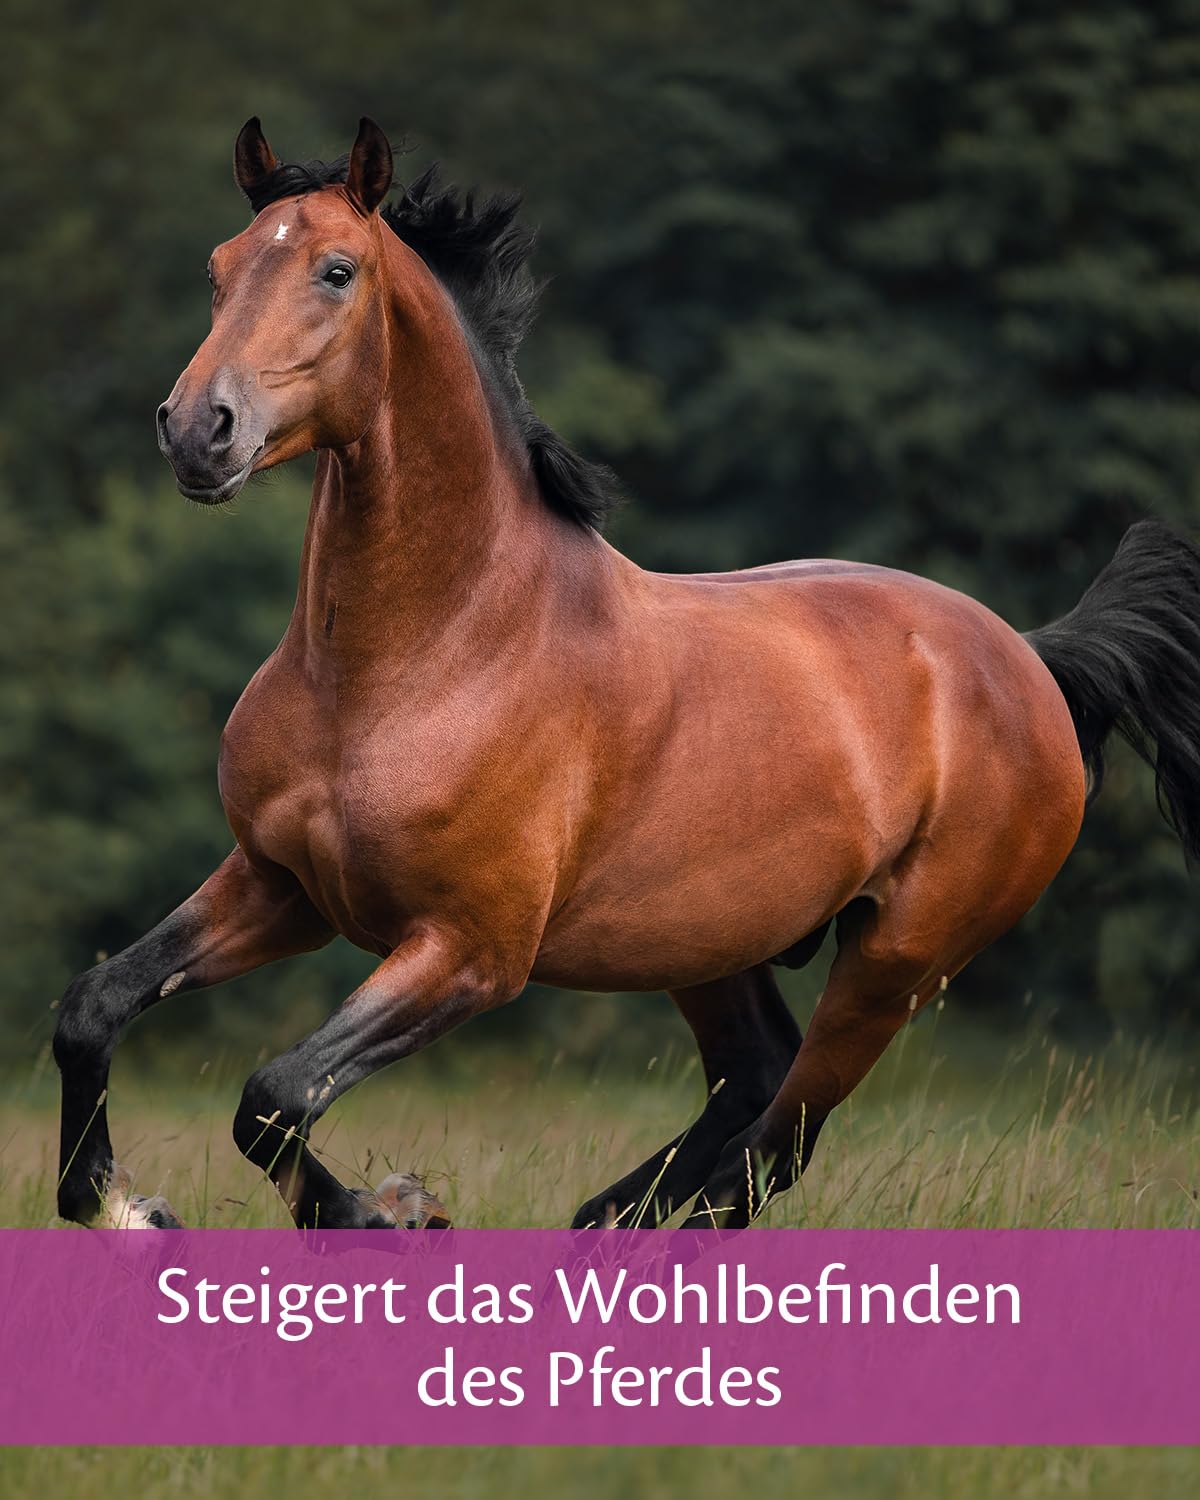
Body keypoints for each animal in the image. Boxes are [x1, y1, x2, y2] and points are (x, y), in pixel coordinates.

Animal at [54, 117, 1200, 1233]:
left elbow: (276, 1094)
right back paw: (602, 1220)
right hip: (713, 943)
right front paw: (112, 1200)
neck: (424, 658)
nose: (198, 429)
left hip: (897, 964)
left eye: (336, 271)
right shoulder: (282, 885)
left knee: (773, 1148)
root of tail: (1031, 659)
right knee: (750, 1087)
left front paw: (386, 1212)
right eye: (218, 267)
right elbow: (93, 1009)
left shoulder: (472, 951)